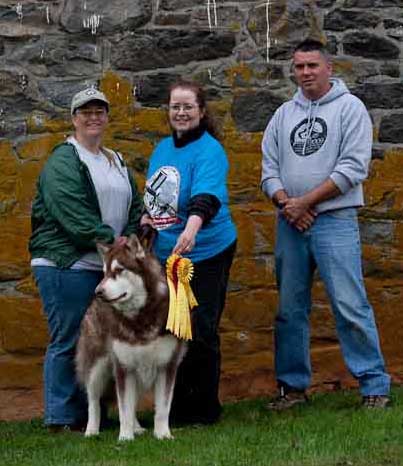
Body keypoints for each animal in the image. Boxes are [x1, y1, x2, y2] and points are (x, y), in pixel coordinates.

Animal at [76, 233, 186, 440]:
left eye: (119, 270)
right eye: (105, 272)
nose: (98, 291)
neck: (141, 317)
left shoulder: (166, 365)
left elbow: (162, 409)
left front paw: (163, 435)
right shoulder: (123, 366)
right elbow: (123, 409)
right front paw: (125, 437)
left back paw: (137, 427)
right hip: (97, 367)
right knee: (93, 400)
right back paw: (91, 431)